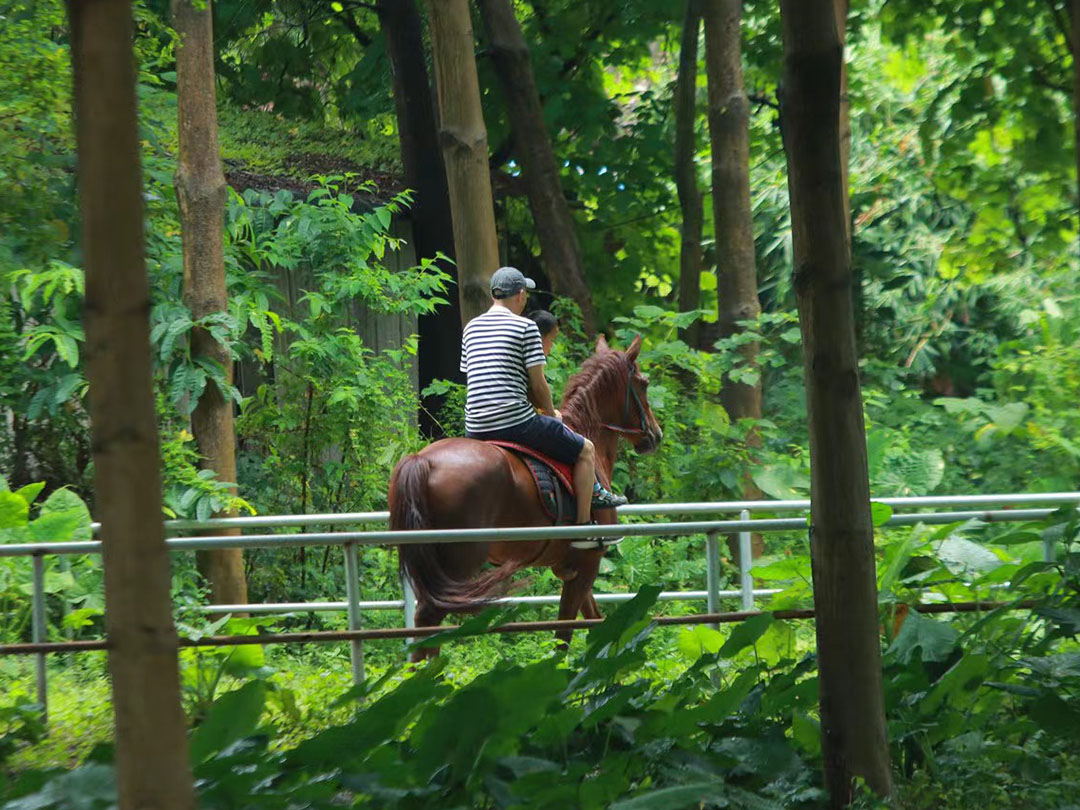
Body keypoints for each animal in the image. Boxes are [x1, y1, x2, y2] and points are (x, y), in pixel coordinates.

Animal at [388, 332, 656, 656]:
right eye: (644, 383)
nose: (655, 435)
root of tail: (422, 460)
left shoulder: (572, 568)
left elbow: (595, 620)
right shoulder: (587, 563)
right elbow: (564, 634)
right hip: (458, 562)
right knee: (429, 617)